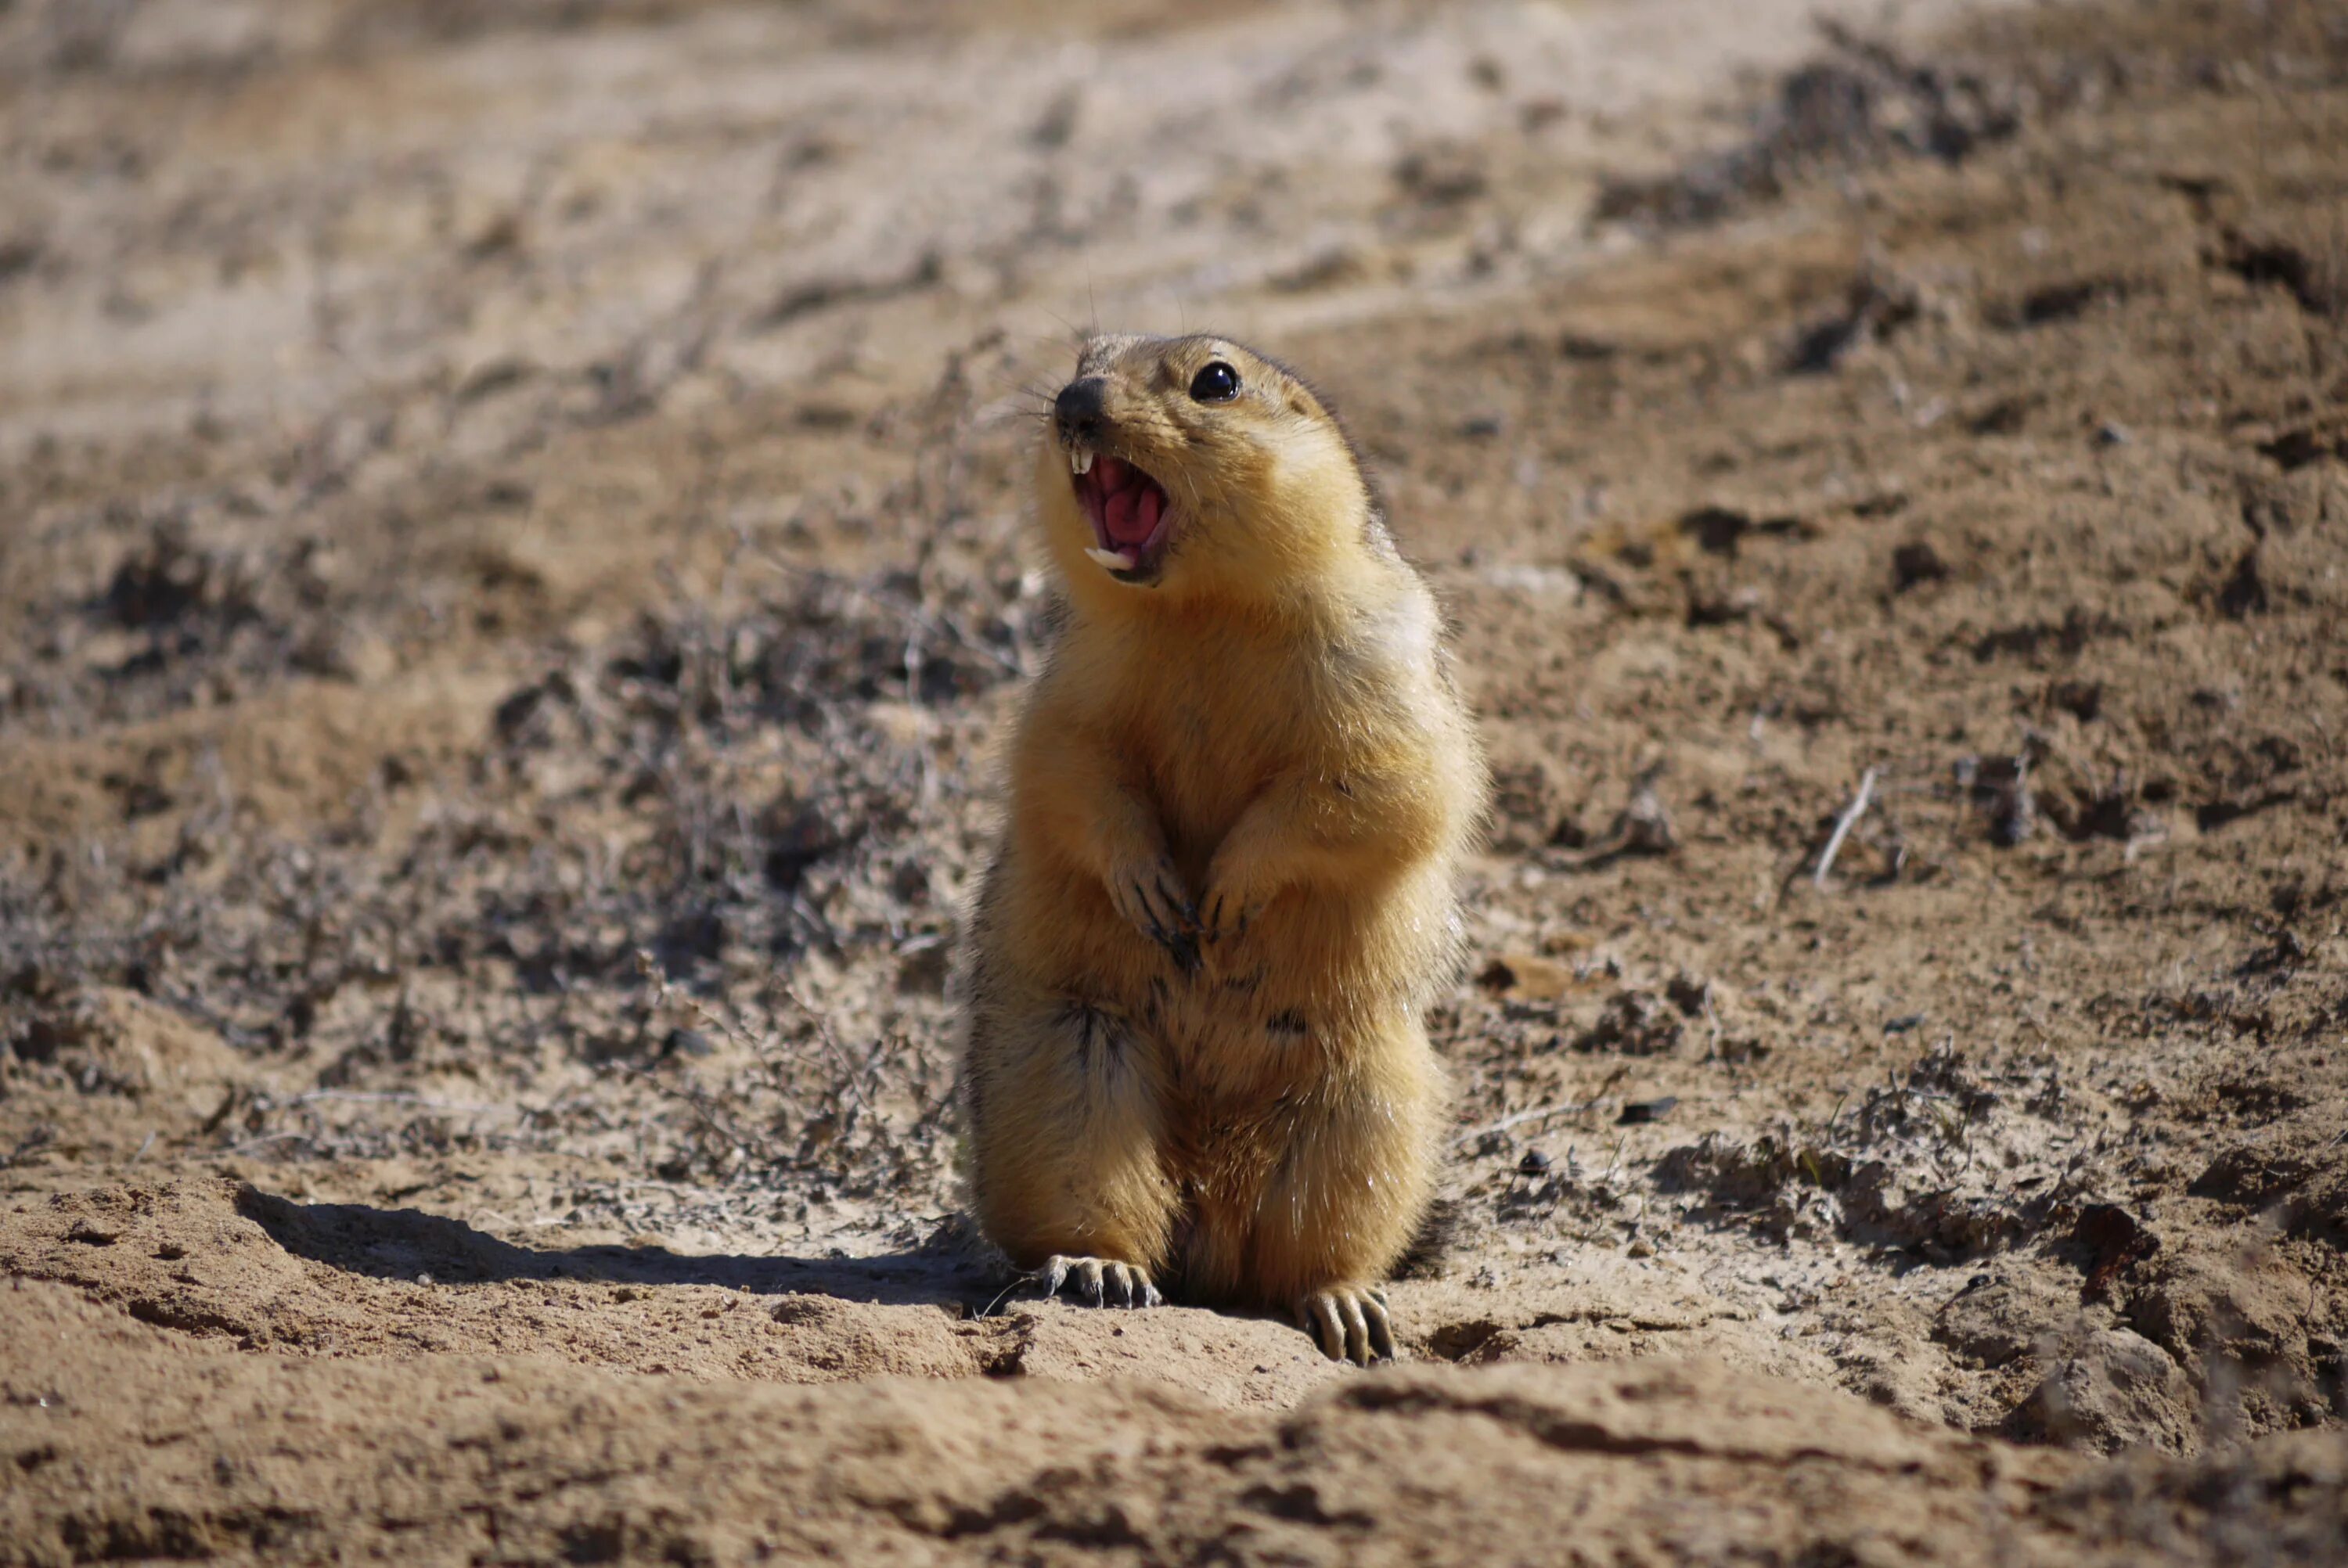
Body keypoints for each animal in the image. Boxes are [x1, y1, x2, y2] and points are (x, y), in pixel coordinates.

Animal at [958, 331, 1484, 1361]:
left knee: (1298, 1258)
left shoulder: (1381, 657)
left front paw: (1230, 895)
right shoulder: (1074, 673)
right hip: (1069, 1063)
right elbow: (1069, 769)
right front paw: (1155, 891)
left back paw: (1345, 1306)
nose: (1074, 402)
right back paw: (1101, 1270)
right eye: (1083, 356)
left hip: (1365, 1100)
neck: (1202, 610)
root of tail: (1210, 1211)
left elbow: (1373, 780)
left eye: (1217, 380)